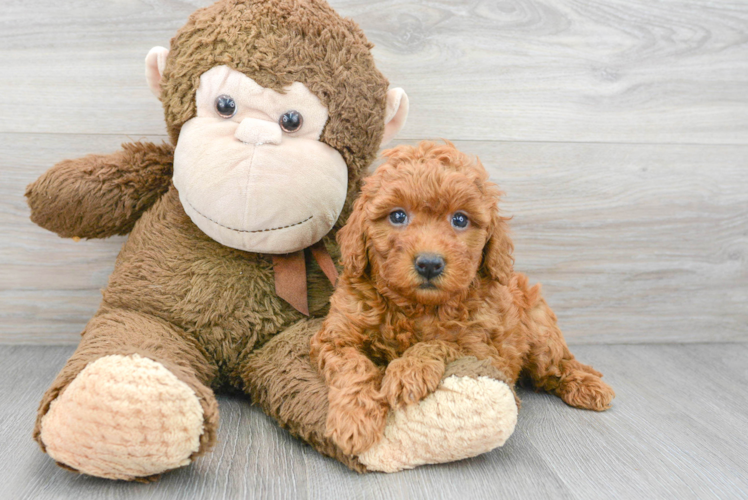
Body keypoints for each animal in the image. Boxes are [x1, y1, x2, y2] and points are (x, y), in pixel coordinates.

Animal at [310, 141, 612, 458]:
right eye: (397, 216)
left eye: (460, 220)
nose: (429, 264)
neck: (415, 306)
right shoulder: (335, 336)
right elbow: (353, 366)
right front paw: (354, 420)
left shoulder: (484, 350)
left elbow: (440, 343)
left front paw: (407, 372)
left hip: (540, 332)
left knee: (558, 364)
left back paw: (589, 387)